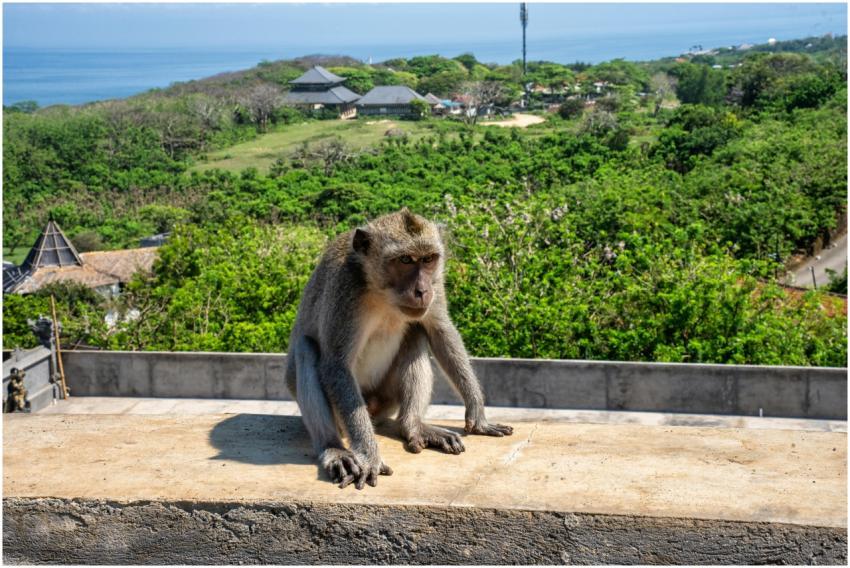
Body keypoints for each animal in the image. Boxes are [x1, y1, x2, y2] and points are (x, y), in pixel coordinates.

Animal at [285, 208, 513, 490]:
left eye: (427, 259)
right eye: (405, 260)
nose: (422, 290)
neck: (382, 293)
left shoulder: (436, 284)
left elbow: (439, 331)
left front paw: (478, 415)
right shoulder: (345, 288)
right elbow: (336, 364)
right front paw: (369, 455)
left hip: (386, 399)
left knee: (416, 332)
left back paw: (413, 425)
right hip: (345, 415)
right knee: (306, 348)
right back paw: (334, 449)